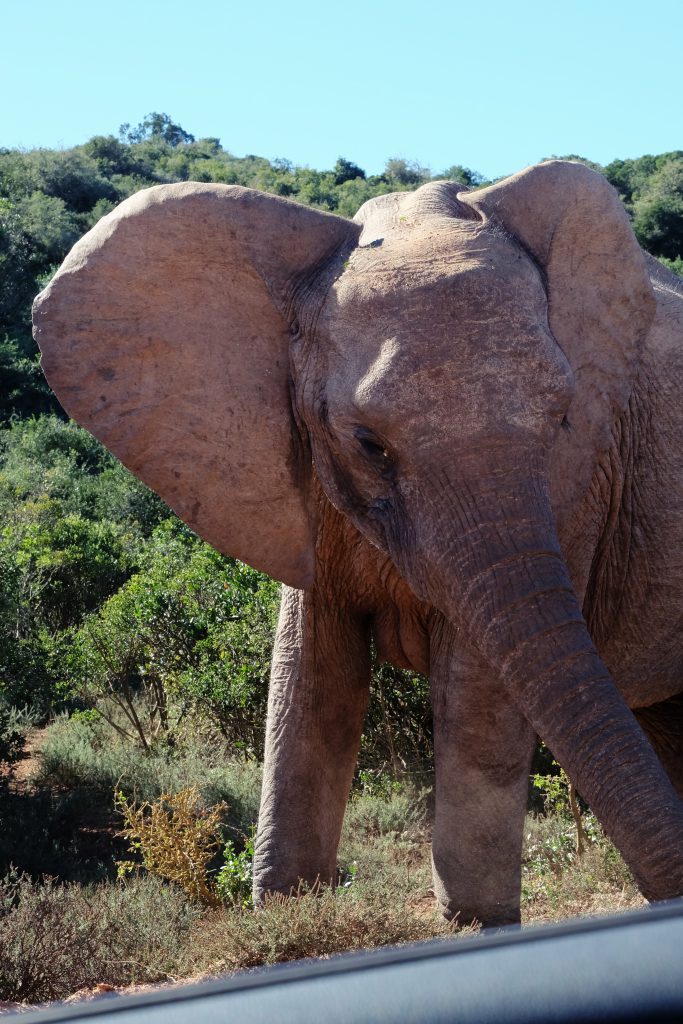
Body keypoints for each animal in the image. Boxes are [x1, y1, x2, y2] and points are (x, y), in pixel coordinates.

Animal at [31, 159, 683, 929]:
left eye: (561, 418)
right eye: (368, 443)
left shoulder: (580, 483)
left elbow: (478, 690)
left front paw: (475, 926)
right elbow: (313, 681)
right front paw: (288, 918)